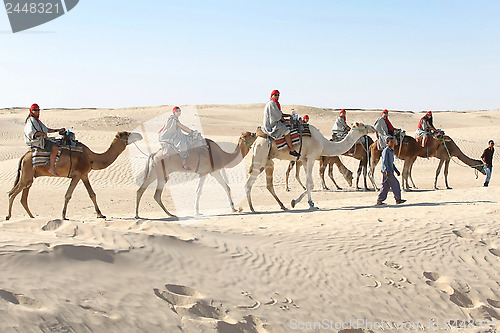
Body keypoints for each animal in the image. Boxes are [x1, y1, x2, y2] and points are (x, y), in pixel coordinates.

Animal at [6, 130, 143, 220]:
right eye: (128, 133)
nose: (140, 135)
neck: (92, 158)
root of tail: (24, 156)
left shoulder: (84, 175)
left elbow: (92, 194)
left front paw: (100, 214)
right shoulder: (77, 175)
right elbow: (68, 195)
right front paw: (63, 216)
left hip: (30, 176)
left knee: (23, 196)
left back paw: (32, 217)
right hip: (26, 174)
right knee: (12, 193)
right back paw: (8, 216)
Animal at [244, 122, 376, 210]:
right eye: (363, 126)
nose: (373, 127)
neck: (324, 144)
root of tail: (256, 142)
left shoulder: (304, 159)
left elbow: (309, 183)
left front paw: (298, 202)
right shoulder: (311, 157)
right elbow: (311, 184)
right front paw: (307, 203)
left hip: (267, 161)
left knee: (268, 185)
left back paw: (282, 205)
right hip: (260, 155)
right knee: (248, 183)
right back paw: (252, 208)